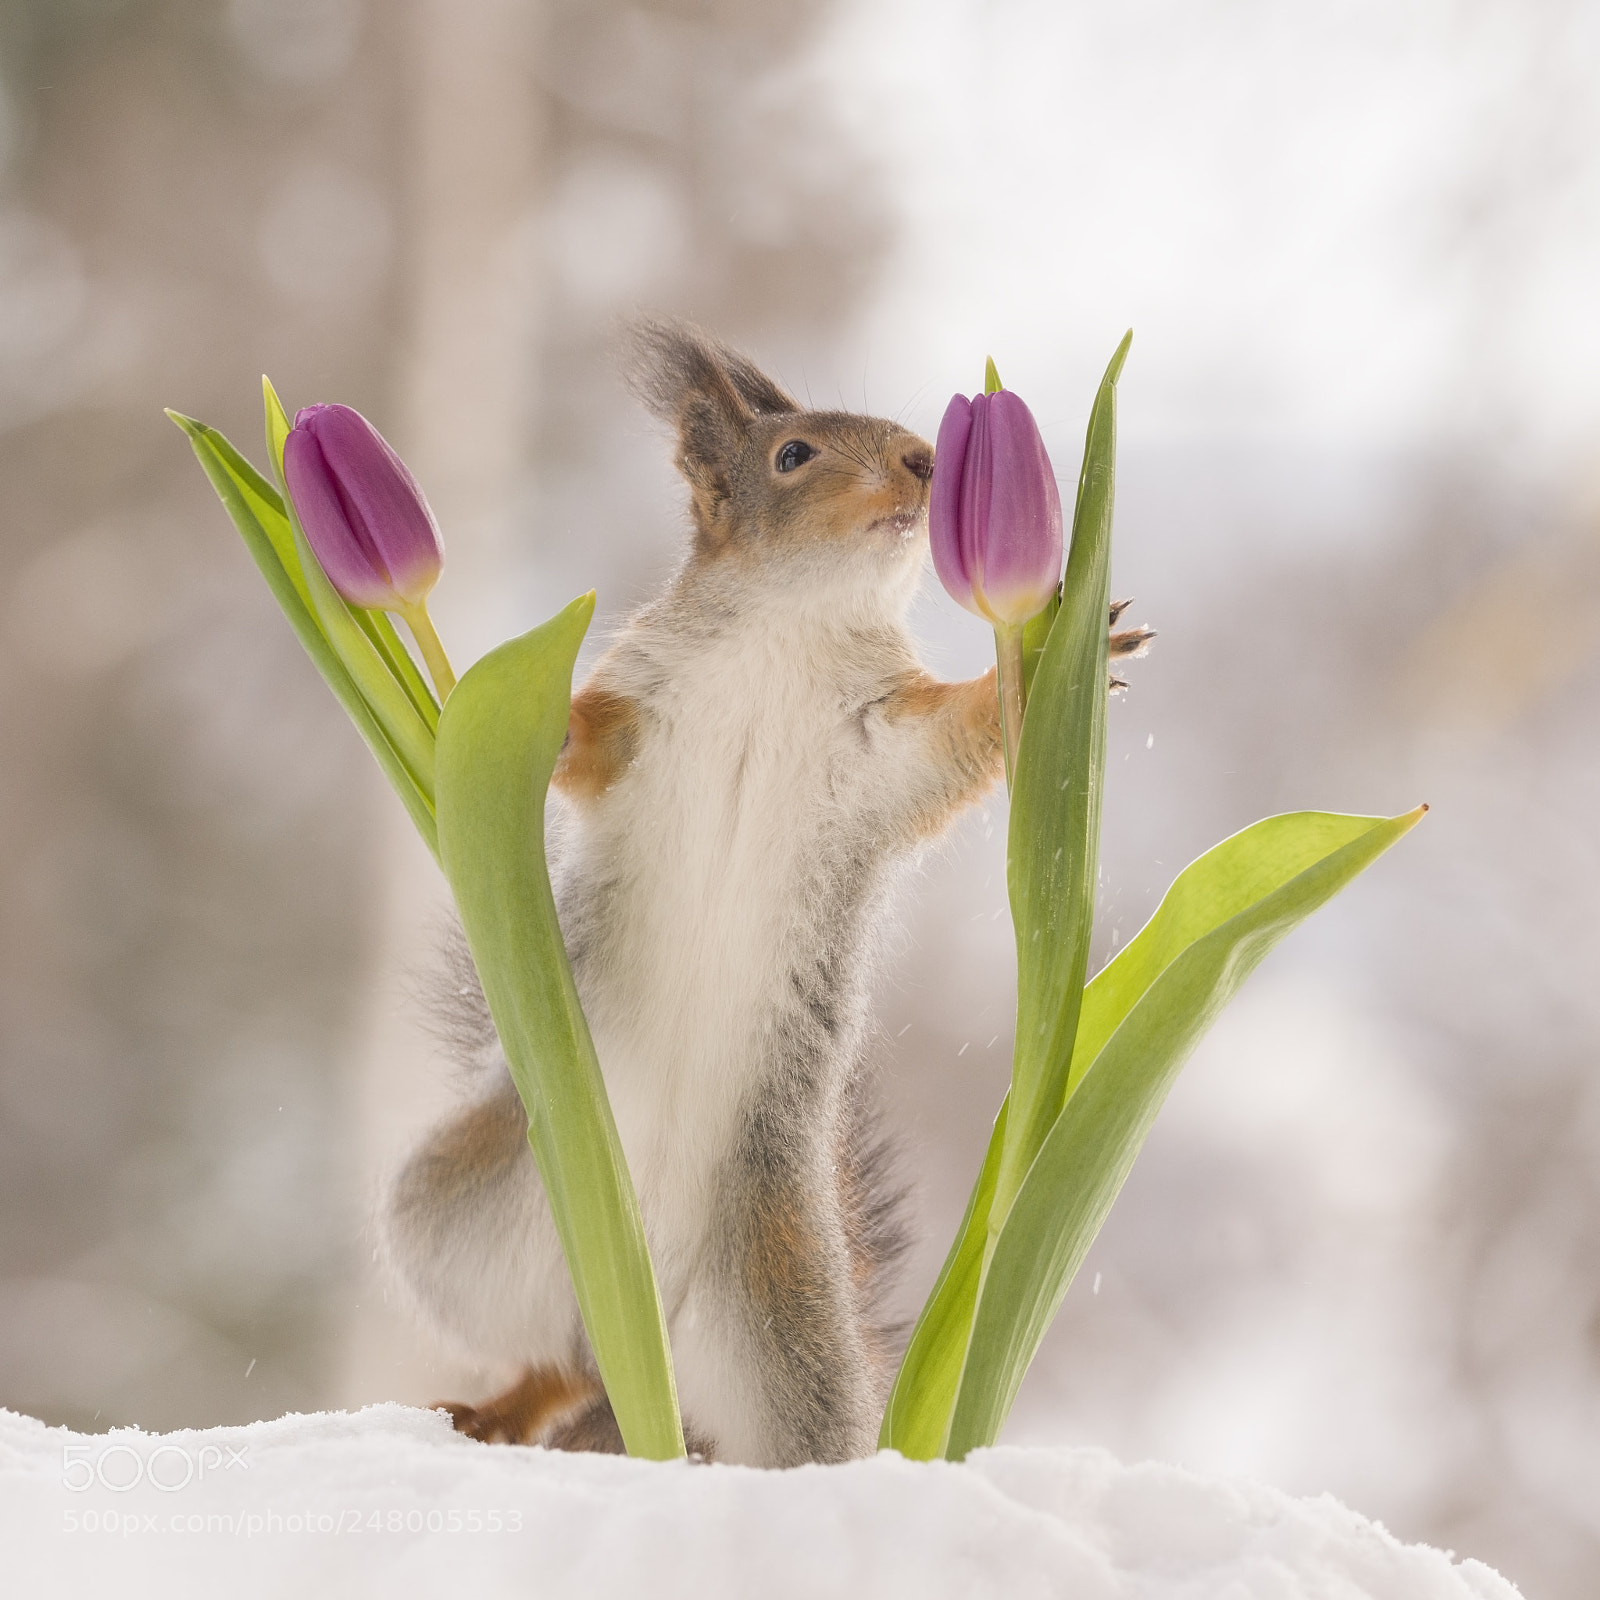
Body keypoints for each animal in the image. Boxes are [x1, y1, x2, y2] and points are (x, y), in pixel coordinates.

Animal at [379, 321, 1153, 1467]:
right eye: (792, 456)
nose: (926, 461)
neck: (790, 624)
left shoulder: (889, 744)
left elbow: (965, 732)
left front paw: (1073, 648)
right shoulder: (637, 711)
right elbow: (582, 747)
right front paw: (495, 689)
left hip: (780, 1316)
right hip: (463, 1217)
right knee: (548, 1354)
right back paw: (499, 1409)